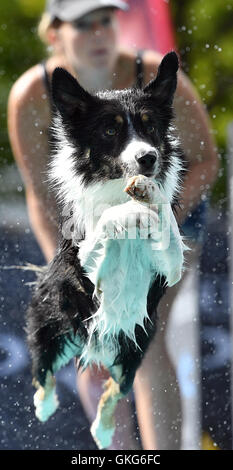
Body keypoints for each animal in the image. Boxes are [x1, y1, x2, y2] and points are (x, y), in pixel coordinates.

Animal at [26, 50, 187, 448]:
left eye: (150, 126)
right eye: (110, 131)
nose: (148, 158)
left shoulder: (170, 269)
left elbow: (167, 229)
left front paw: (150, 197)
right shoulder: (85, 266)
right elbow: (108, 219)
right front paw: (128, 210)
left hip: (137, 344)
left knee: (117, 388)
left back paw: (103, 429)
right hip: (53, 320)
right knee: (43, 372)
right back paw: (45, 406)